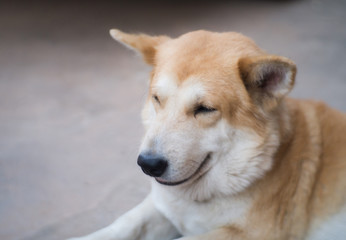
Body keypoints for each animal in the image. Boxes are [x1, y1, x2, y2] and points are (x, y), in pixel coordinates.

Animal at [69, 29, 344, 239]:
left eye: (204, 109)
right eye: (157, 99)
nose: (148, 164)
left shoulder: (252, 233)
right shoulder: (162, 207)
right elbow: (124, 224)